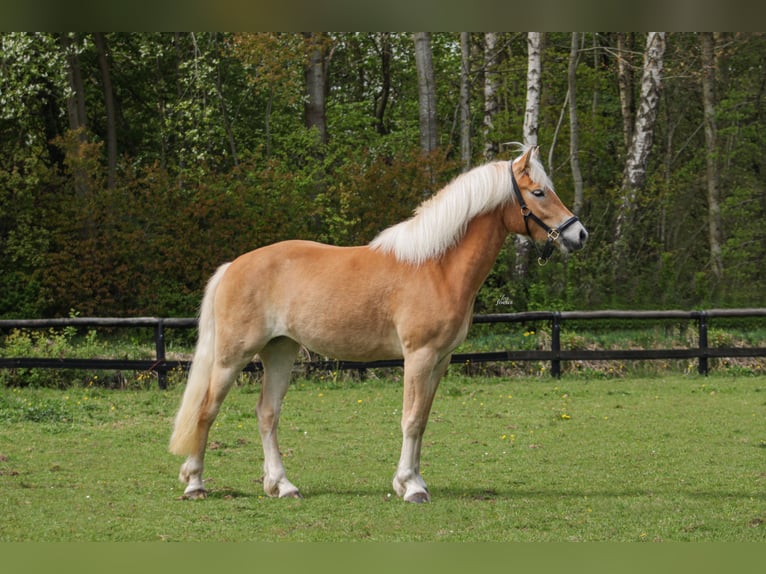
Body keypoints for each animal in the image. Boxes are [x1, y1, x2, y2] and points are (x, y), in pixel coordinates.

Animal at [169, 144, 588, 503]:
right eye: (538, 193)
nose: (579, 234)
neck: (437, 266)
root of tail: (233, 266)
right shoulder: (419, 356)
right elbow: (411, 419)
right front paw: (411, 487)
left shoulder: (441, 361)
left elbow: (424, 419)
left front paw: (413, 480)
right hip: (232, 355)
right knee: (207, 409)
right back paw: (195, 484)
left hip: (280, 351)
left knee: (267, 414)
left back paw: (283, 486)